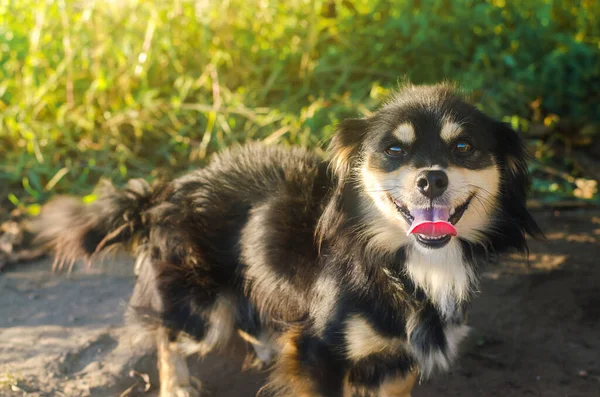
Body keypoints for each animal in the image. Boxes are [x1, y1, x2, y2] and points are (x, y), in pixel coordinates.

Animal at [37, 83, 544, 392]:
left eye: (464, 147)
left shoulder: (400, 358)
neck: (397, 263)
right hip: (202, 309)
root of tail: (165, 190)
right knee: (168, 335)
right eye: (394, 150)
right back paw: (178, 384)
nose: (432, 180)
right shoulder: (319, 354)